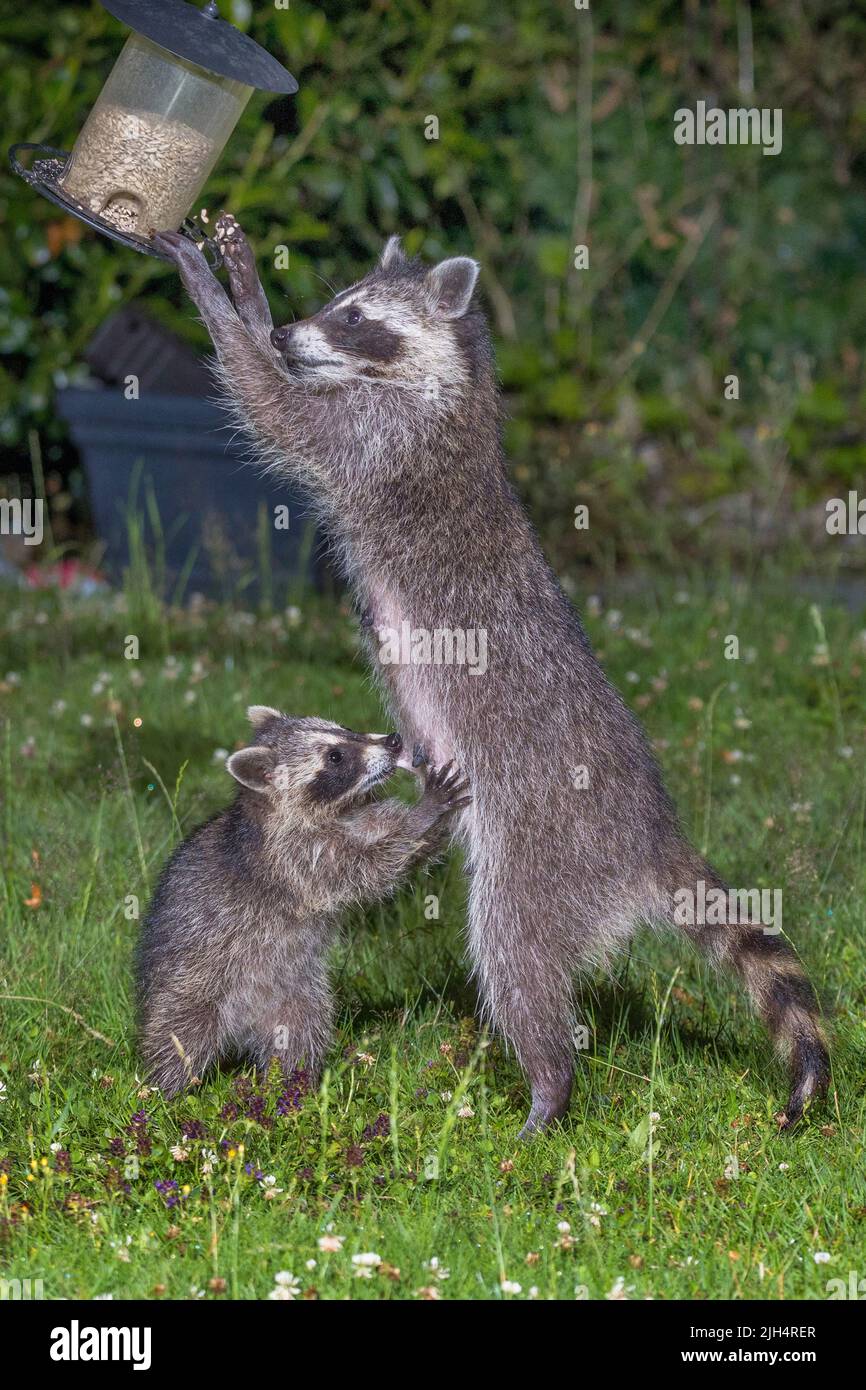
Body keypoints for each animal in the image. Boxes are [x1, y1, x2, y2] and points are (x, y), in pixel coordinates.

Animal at [138, 706, 469, 1095]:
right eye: (335, 757)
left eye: (346, 728)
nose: (393, 741)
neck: (335, 814)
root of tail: (242, 1029)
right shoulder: (293, 860)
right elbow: (369, 868)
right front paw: (424, 813)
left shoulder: (357, 822)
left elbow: (399, 846)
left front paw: (436, 827)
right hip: (192, 982)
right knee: (179, 1037)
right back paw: (165, 1089)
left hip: (296, 995)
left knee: (301, 1033)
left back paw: (297, 1083)